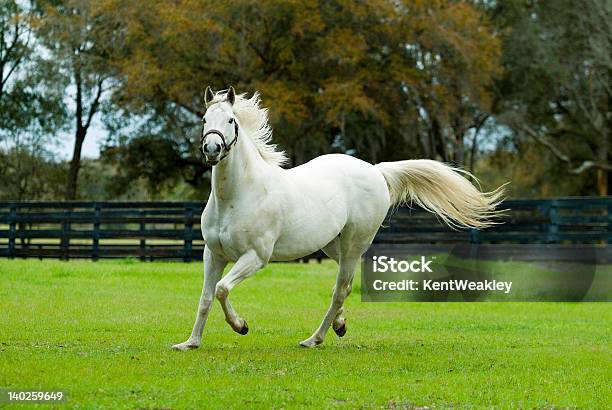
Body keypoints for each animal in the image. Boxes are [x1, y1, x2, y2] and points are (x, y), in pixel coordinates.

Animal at [172, 86, 502, 350]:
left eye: (231, 120)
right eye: (204, 120)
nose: (211, 149)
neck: (238, 196)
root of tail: (375, 170)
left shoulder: (256, 256)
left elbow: (221, 289)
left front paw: (241, 326)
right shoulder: (212, 255)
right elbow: (206, 297)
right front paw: (190, 343)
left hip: (355, 243)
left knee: (340, 289)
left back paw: (314, 339)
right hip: (334, 245)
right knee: (347, 283)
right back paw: (339, 326)